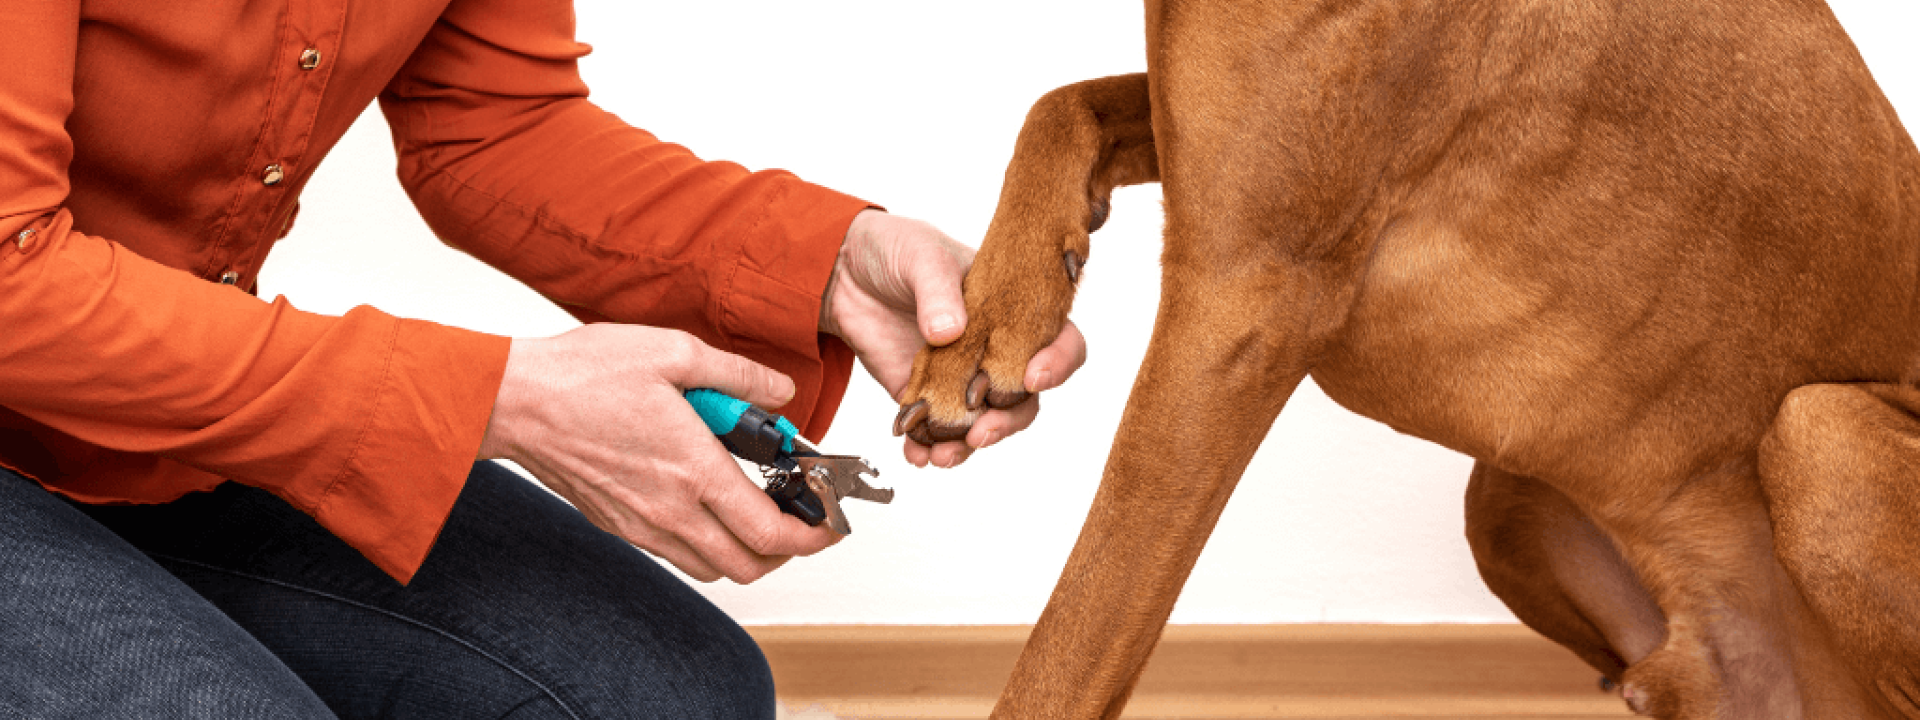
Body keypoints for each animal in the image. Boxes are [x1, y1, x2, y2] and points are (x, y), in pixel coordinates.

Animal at [890, 1, 1920, 720]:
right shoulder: (1201, 148)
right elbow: (1060, 103)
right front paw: (986, 324)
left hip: (1821, 435)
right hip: (1508, 499)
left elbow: (1075, 634)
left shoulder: (1245, 295)